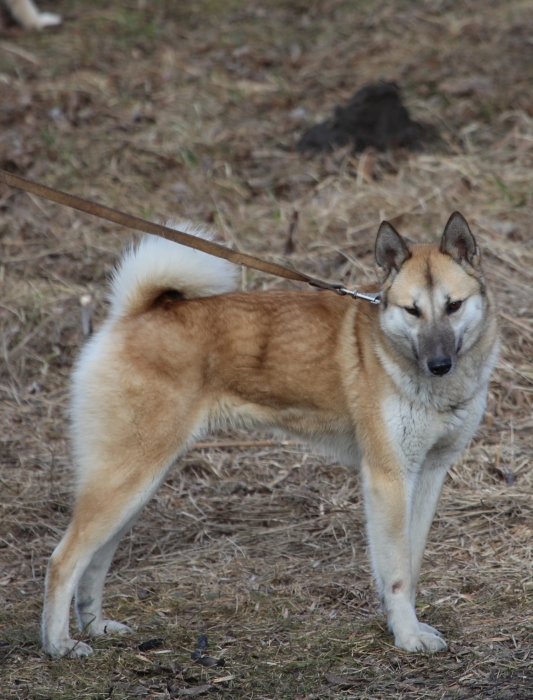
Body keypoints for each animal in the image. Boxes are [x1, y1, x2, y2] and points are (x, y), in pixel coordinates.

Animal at [41, 212, 498, 656]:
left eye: (453, 306)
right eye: (412, 310)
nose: (439, 365)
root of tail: (133, 314)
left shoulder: (428, 476)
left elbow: (411, 564)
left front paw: (406, 626)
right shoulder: (388, 479)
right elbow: (398, 573)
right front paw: (406, 636)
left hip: (134, 490)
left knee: (94, 562)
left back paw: (96, 626)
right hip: (126, 481)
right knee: (64, 560)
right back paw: (58, 644)